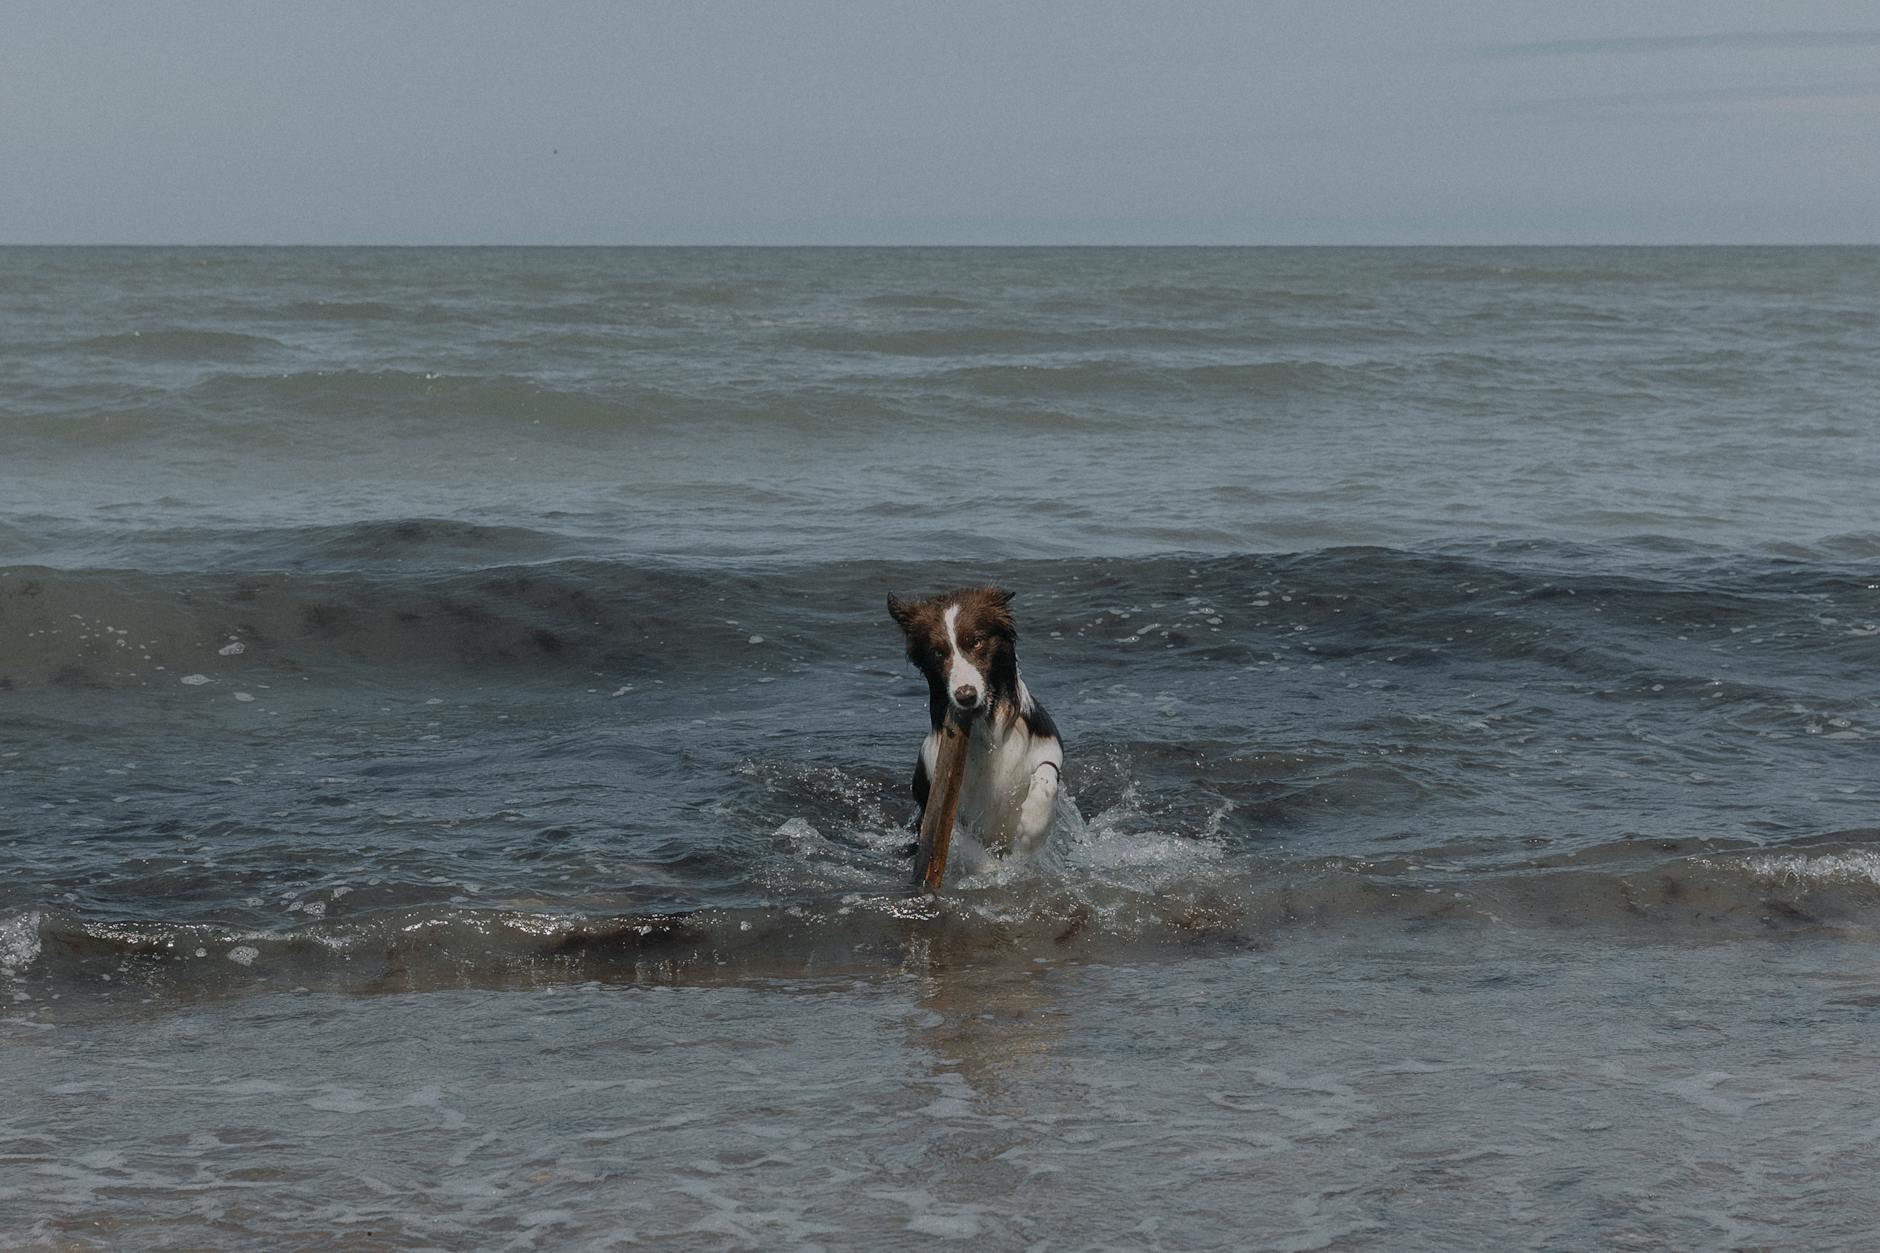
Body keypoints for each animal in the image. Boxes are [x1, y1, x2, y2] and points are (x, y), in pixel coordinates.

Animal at [887, 583, 1067, 857]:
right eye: (938, 653)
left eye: (977, 642)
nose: (966, 696)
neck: (987, 731)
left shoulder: (1047, 743)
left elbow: (1046, 774)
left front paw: (1032, 829)